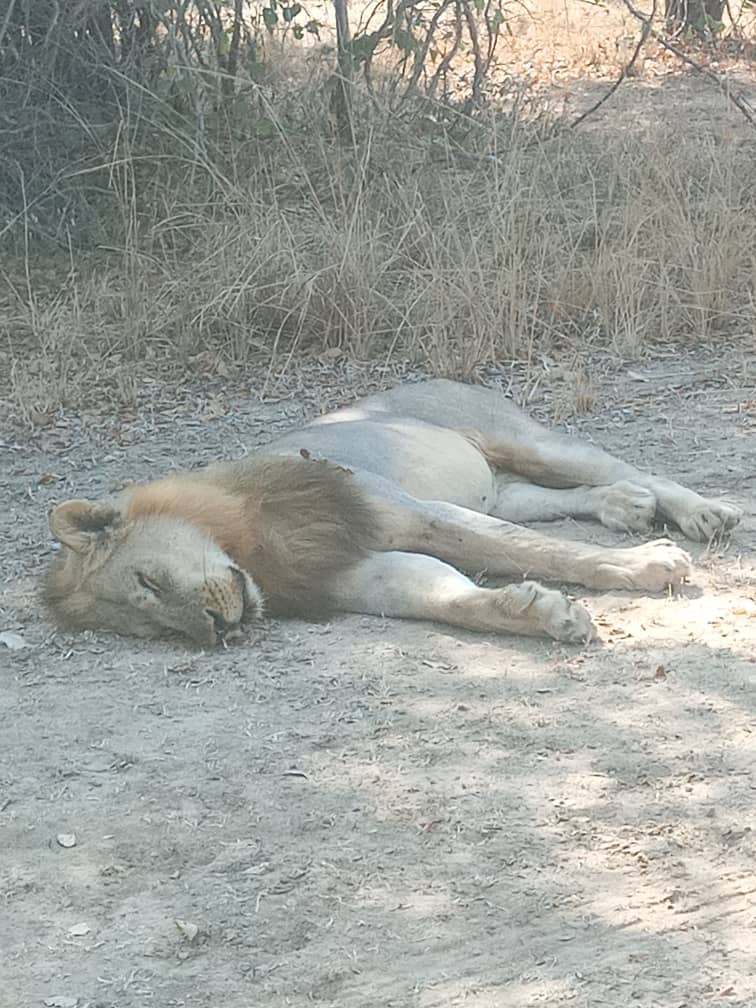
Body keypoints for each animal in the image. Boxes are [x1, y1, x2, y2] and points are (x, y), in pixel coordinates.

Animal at [46, 379, 741, 647]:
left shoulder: (408, 510)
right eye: (155, 629)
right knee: (559, 496)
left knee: (627, 468)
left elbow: (525, 548)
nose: (218, 631)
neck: (253, 550)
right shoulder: (362, 574)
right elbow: (446, 596)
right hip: (498, 483)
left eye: (149, 581)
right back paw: (626, 508)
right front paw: (541, 613)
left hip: (522, 438)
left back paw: (702, 514)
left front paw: (647, 567)